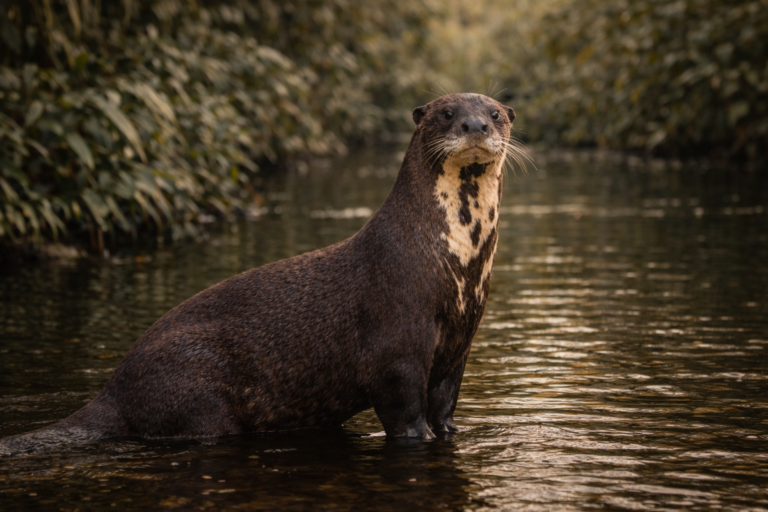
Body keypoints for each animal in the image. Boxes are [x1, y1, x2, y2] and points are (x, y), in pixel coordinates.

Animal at [0, 93, 518, 456]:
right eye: (447, 112)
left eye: (495, 113)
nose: (475, 125)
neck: (451, 262)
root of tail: (114, 388)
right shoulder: (397, 340)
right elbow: (405, 414)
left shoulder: (458, 342)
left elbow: (444, 405)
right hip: (194, 384)